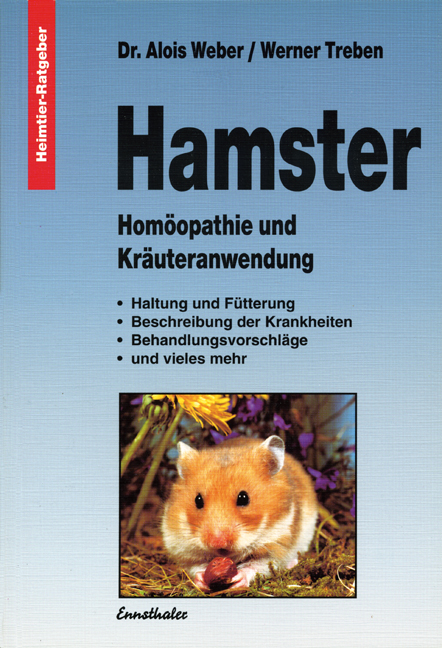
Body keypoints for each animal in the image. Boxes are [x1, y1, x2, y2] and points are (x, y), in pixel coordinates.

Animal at [161, 435, 318, 591]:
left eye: (243, 498)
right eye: (198, 500)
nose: (217, 542)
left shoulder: (277, 545)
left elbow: (257, 566)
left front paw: (238, 579)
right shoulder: (182, 550)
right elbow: (196, 567)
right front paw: (202, 580)